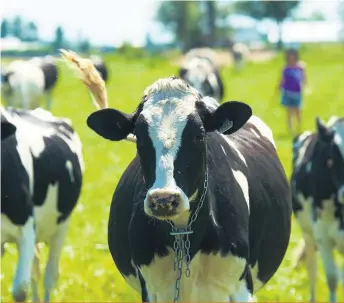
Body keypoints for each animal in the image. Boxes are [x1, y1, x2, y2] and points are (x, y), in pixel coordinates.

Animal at [68, 52, 292, 302]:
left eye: (199, 135)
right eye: (139, 137)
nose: (164, 199)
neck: (183, 232)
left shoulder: (241, 287)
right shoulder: (152, 290)